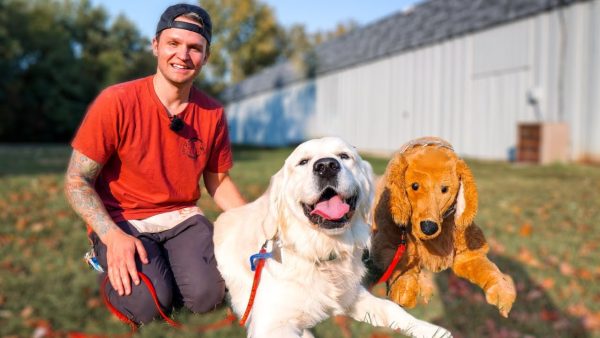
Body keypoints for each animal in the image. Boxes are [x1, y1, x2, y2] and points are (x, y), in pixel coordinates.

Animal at [212, 137, 450, 338]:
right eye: (303, 162)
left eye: (344, 156)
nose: (326, 166)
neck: (322, 250)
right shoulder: (270, 324)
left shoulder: (353, 295)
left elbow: (391, 308)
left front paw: (432, 329)